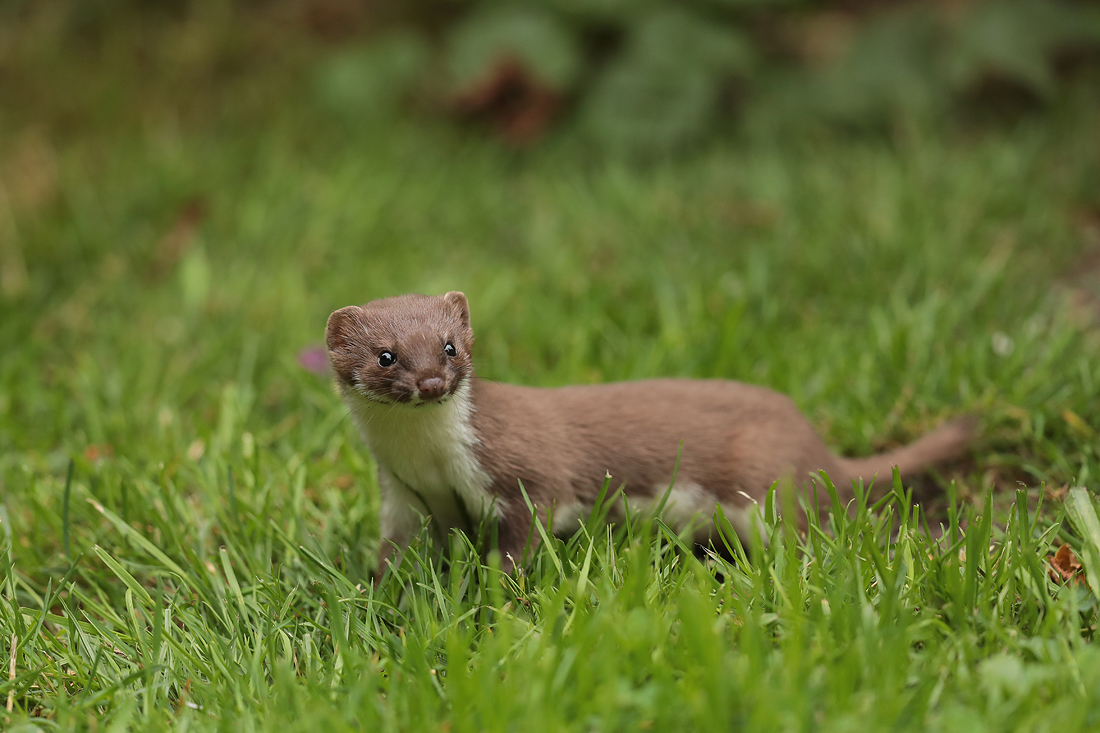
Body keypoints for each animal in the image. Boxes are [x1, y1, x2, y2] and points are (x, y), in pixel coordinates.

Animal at [323, 290, 972, 572]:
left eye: (450, 346)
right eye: (386, 356)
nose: (432, 381)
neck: (431, 461)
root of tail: (815, 443)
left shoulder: (527, 477)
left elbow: (525, 533)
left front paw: (495, 589)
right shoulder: (400, 492)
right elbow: (395, 548)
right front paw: (380, 586)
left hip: (769, 486)